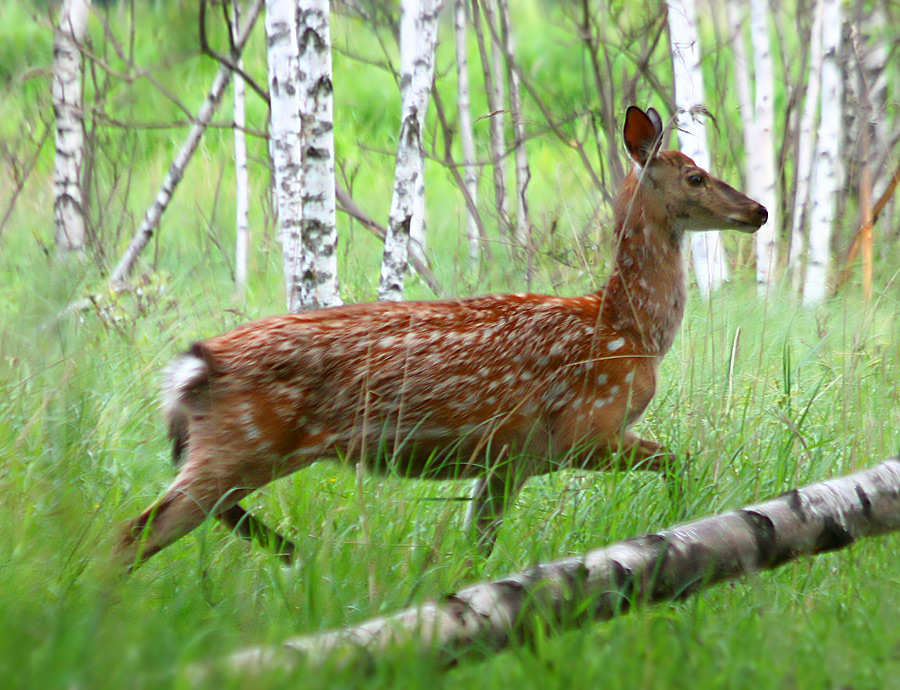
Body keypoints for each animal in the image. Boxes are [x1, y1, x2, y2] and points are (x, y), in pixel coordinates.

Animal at [118, 105, 768, 568]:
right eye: (695, 176)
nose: (758, 211)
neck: (626, 327)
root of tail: (195, 368)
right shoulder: (586, 429)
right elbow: (680, 461)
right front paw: (683, 521)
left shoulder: (510, 460)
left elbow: (476, 547)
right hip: (241, 445)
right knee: (131, 534)